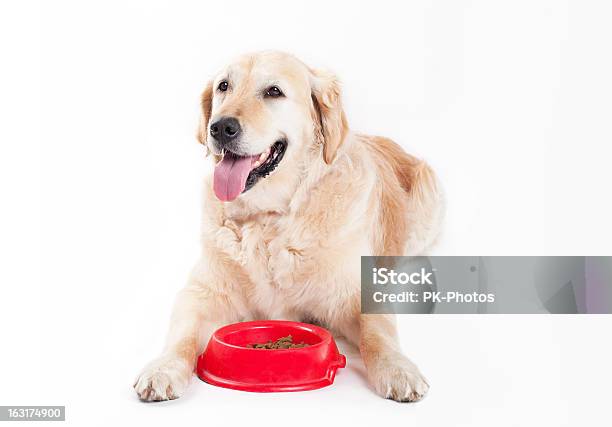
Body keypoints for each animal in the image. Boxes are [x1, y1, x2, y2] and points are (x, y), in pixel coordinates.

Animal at [134, 51, 442, 404]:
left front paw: (399, 369)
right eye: (224, 86)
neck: (267, 218)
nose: (220, 127)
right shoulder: (201, 292)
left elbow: (378, 333)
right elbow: (181, 334)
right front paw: (162, 368)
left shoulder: (355, 294)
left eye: (274, 91)